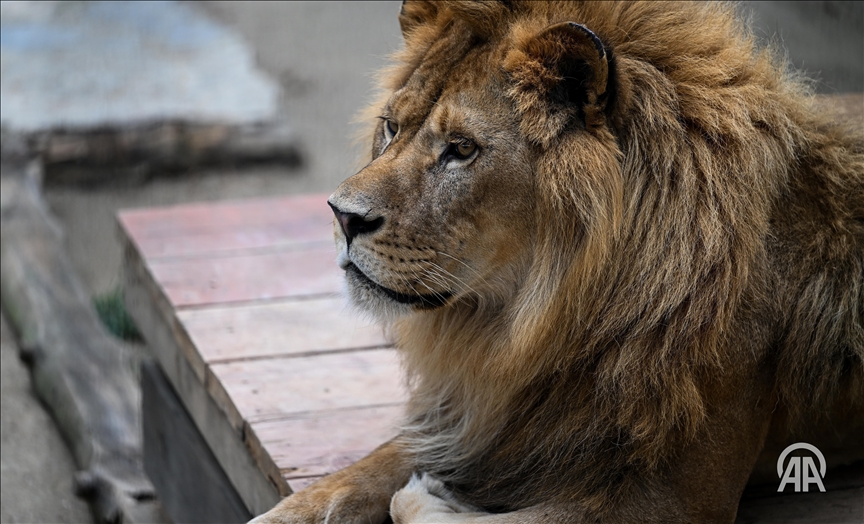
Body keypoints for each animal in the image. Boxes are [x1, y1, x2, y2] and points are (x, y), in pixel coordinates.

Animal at [253, 1, 860, 524]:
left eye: (462, 148)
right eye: (391, 127)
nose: (342, 215)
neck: (531, 330)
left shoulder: (674, 499)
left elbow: (425, 506)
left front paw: (438, 497)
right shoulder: (482, 414)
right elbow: (361, 473)